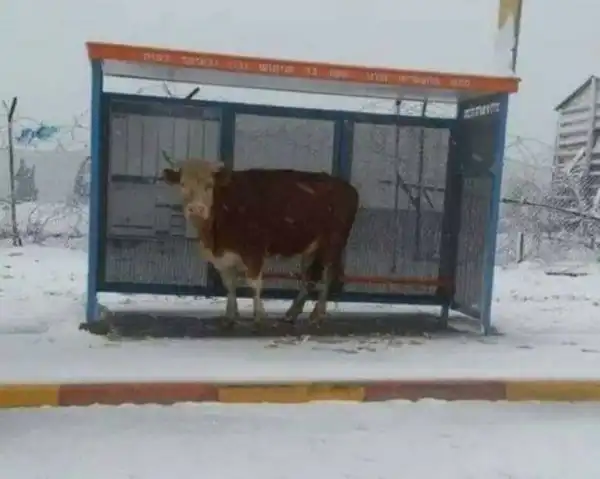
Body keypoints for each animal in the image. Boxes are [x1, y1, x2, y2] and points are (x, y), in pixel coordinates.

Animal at [161, 154, 359, 330]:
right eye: (182, 184)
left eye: (209, 185)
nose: (196, 208)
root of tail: (347, 187)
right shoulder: (223, 259)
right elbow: (230, 285)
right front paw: (229, 317)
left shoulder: (253, 252)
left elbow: (254, 283)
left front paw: (258, 317)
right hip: (311, 248)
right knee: (307, 277)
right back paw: (292, 313)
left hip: (333, 243)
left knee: (327, 275)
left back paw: (318, 315)